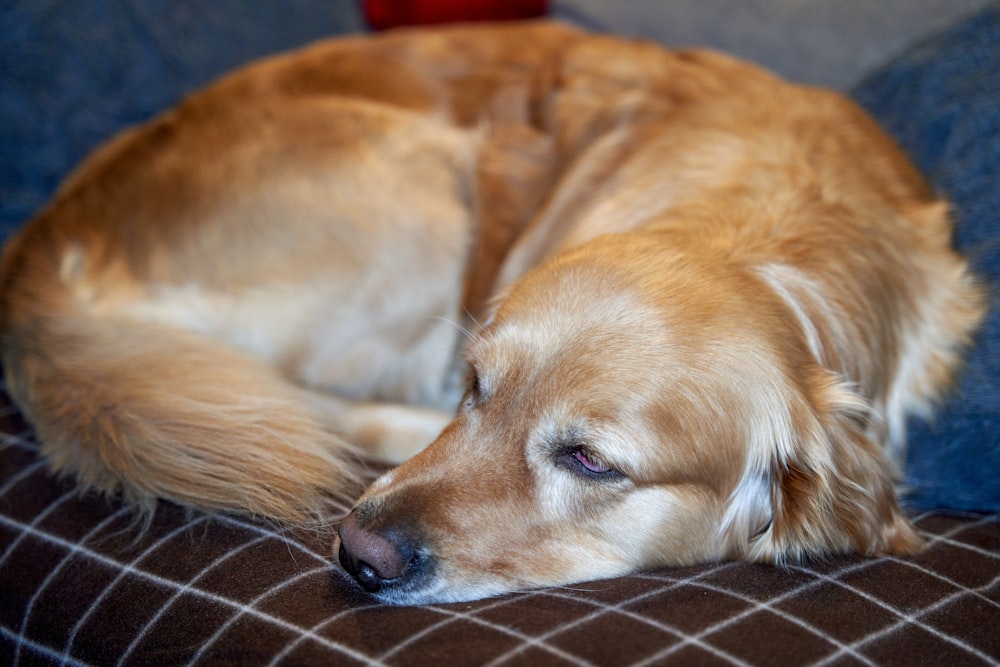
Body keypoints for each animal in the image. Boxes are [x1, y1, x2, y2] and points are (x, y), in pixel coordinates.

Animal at [0, 22, 984, 604]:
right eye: (476, 383)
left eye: (590, 460)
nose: (359, 551)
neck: (772, 233)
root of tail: (45, 236)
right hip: (426, 190)